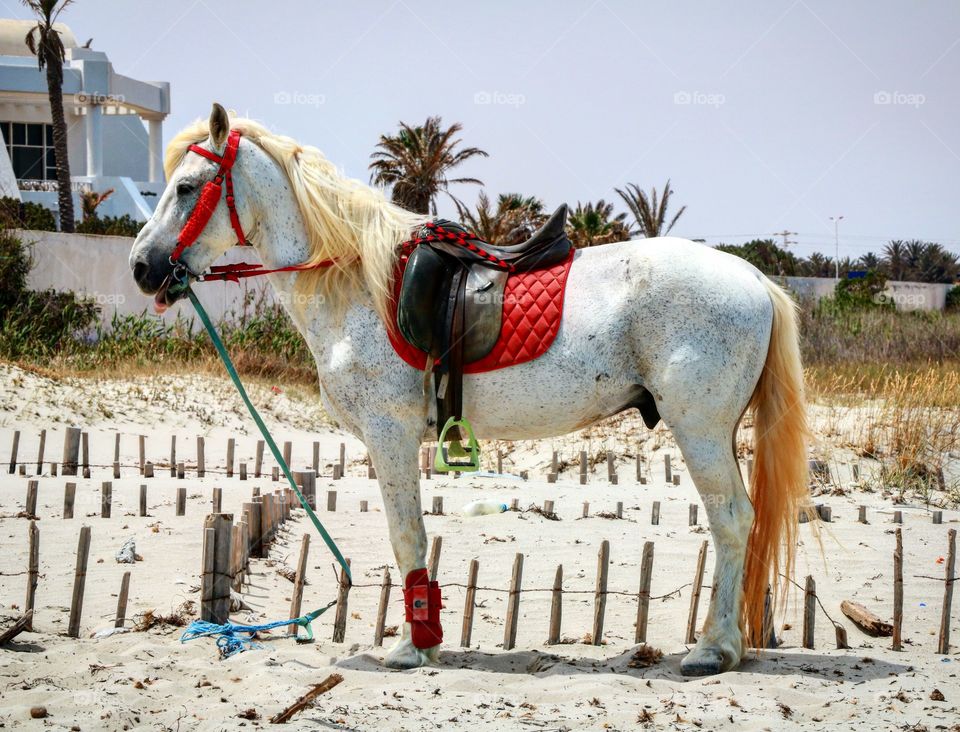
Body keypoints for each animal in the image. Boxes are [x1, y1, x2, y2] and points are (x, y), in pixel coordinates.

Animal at [129, 103, 810, 676]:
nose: (142, 268)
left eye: (186, 187)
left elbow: (407, 536)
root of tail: (753, 278)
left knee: (731, 521)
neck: (359, 280)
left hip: (700, 431)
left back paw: (713, 649)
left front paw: (414, 646)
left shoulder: (390, 436)